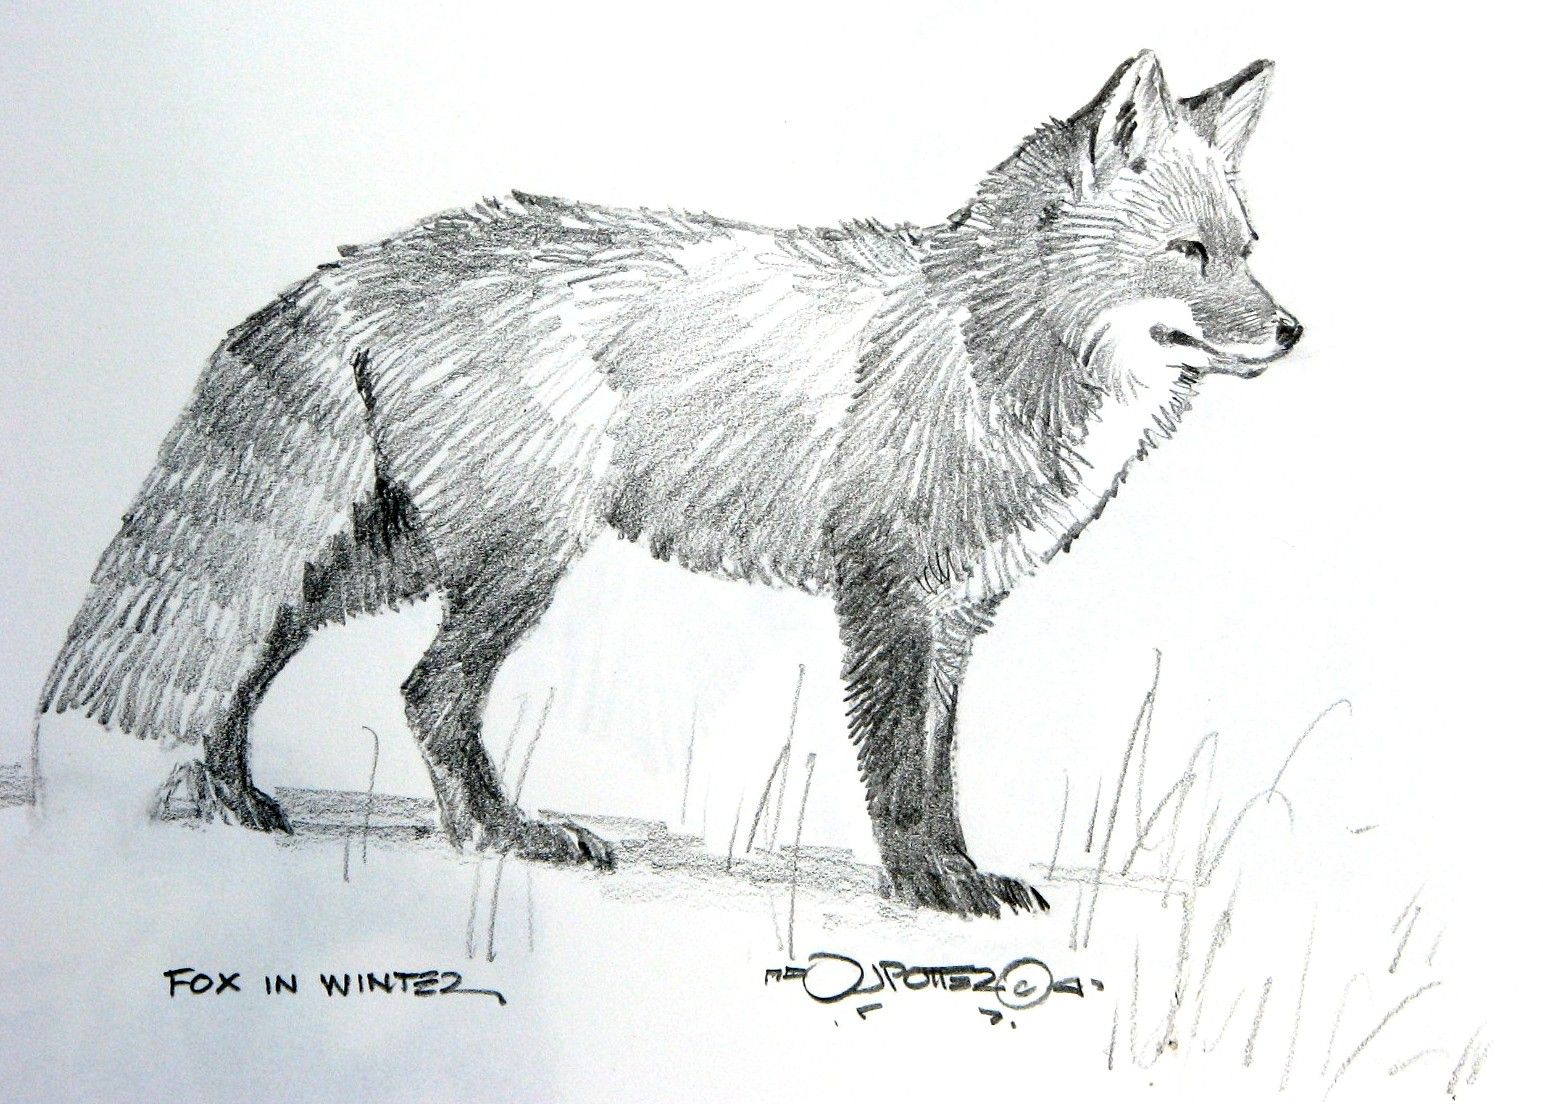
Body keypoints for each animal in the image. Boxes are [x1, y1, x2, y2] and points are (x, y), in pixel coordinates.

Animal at [37, 51, 1300, 917]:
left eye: (1246, 248)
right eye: (1188, 255)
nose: (1292, 329)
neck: (987, 339)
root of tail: (359, 262)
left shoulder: (954, 614)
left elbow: (939, 770)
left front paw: (959, 872)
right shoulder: (886, 599)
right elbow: (897, 772)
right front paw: (928, 888)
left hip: (403, 552)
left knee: (261, 633)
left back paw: (235, 796)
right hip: (513, 559)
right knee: (421, 691)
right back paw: (499, 833)